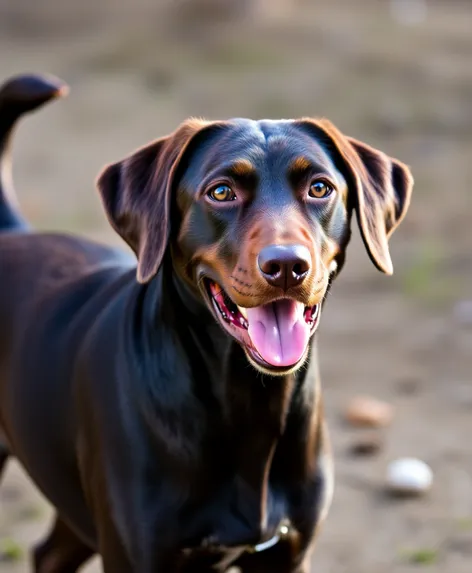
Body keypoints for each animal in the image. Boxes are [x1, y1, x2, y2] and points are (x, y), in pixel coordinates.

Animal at [0, 73, 412, 568]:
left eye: (319, 188)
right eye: (221, 192)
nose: (287, 266)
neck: (247, 399)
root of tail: (12, 231)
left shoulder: (289, 554)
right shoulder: (136, 556)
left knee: (48, 553)